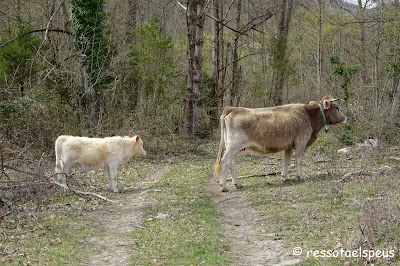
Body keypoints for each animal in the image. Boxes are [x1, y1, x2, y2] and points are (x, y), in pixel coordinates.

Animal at [212, 95, 346, 191]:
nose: (345, 118)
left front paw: (285, 177)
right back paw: (223, 186)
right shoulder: (301, 141)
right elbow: (298, 160)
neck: (308, 115)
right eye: (337, 108)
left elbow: (286, 161)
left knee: (231, 164)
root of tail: (233, 108)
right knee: (225, 161)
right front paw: (300, 176)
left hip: (234, 147)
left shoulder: (289, 145)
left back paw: (238, 184)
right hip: (233, 146)